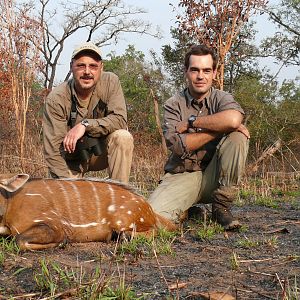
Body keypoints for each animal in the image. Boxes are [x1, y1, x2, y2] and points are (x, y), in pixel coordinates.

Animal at [0, 173, 177, 251]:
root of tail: (149, 208)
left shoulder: (56, 226)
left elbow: (19, 240)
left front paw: (63, 243)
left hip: (123, 221)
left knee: (153, 231)